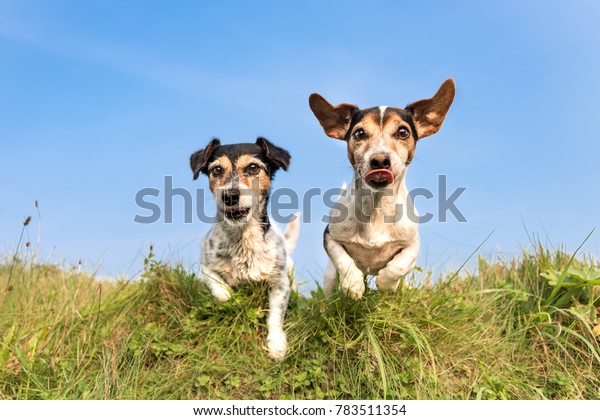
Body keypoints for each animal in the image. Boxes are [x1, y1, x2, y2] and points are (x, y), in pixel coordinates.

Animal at [189, 136, 298, 360]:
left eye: (253, 167)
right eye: (217, 170)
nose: (230, 195)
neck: (243, 238)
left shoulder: (280, 282)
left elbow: (275, 315)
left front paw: (276, 345)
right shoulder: (205, 265)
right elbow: (220, 289)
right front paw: (230, 295)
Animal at [310, 79, 454, 300]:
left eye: (403, 132)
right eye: (359, 133)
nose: (379, 160)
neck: (376, 208)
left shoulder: (412, 244)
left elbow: (398, 266)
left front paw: (386, 284)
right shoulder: (330, 237)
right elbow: (343, 259)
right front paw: (353, 284)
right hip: (329, 275)